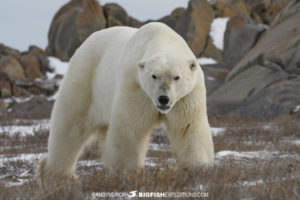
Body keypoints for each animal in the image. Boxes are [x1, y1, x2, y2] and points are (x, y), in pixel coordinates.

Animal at [37, 22, 213, 180]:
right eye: (154, 76)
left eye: (176, 77)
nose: (163, 99)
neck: (163, 37)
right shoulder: (136, 87)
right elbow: (130, 128)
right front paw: (126, 172)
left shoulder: (187, 96)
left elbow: (187, 128)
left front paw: (199, 168)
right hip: (85, 79)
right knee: (70, 127)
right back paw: (57, 175)